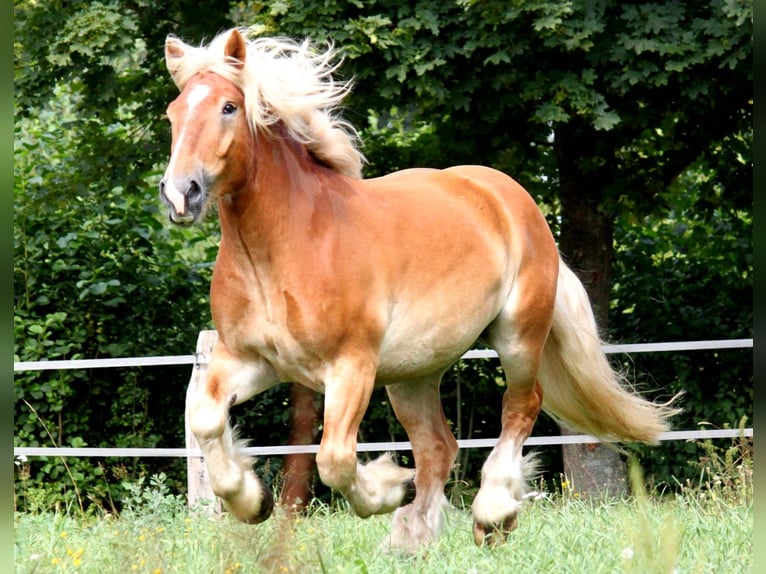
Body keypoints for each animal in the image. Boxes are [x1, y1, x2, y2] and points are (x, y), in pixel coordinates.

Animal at [159, 28, 680, 552]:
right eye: (173, 112)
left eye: (228, 107)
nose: (181, 193)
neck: (283, 250)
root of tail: (513, 199)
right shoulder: (247, 359)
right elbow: (205, 418)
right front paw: (252, 501)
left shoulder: (351, 367)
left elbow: (335, 459)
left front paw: (389, 489)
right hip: (413, 372)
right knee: (438, 446)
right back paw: (411, 539)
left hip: (517, 337)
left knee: (521, 407)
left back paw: (491, 514)